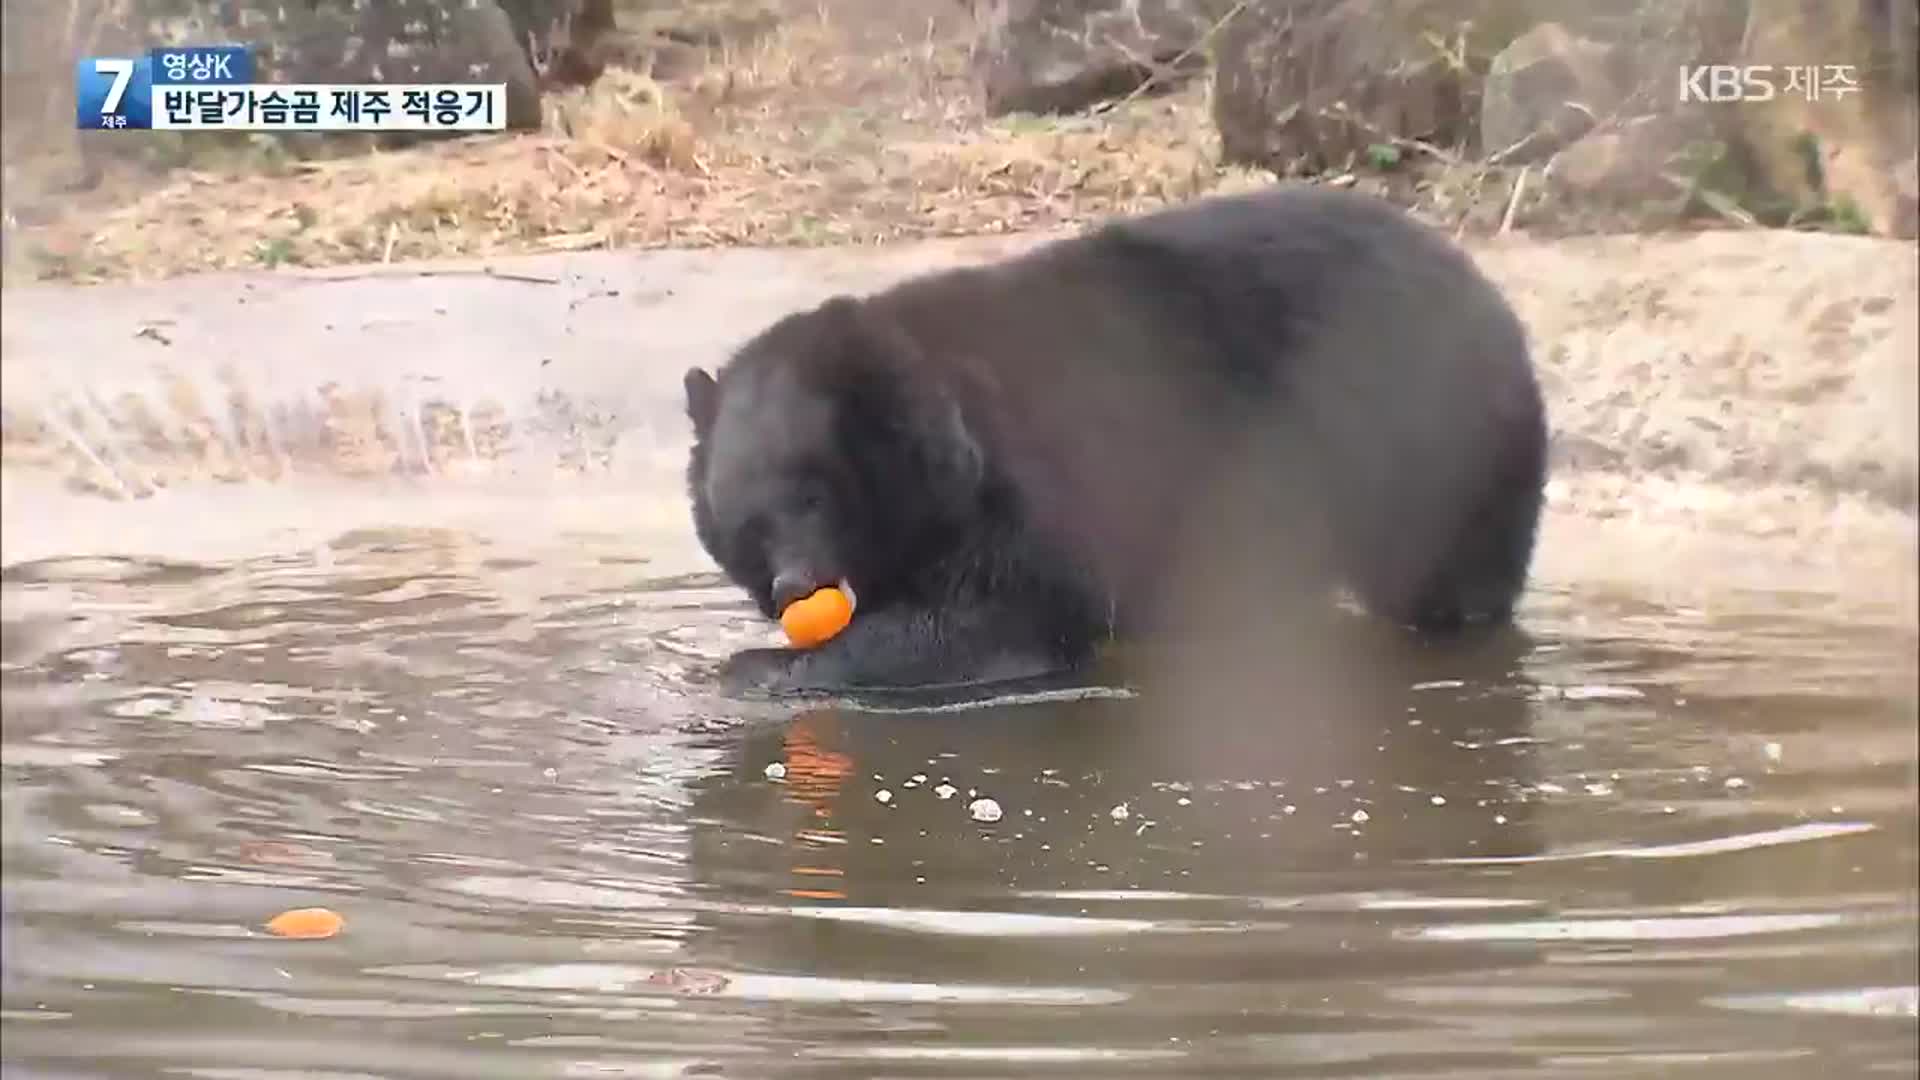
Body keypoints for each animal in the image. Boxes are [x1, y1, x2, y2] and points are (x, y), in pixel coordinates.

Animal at [683, 183, 1551, 687]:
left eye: (814, 491)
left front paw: (756, 668)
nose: (792, 589)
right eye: (746, 525)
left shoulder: (1028, 477)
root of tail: (1489, 293)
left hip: (1418, 436)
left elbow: (1017, 608)